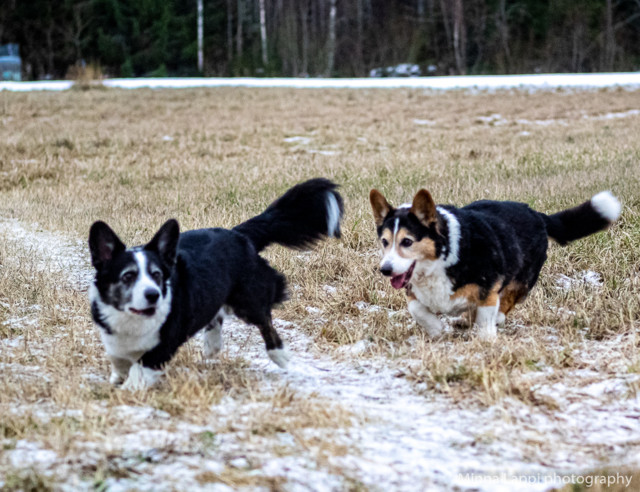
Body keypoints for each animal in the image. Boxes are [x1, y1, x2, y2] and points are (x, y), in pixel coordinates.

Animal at [89, 179, 344, 390]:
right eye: (128, 276)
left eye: (157, 275)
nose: (153, 295)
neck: (134, 320)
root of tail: (238, 234)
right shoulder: (113, 337)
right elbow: (119, 359)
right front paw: (118, 378)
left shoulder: (163, 345)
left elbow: (140, 369)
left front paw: (128, 389)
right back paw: (212, 346)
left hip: (248, 301)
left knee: (266, 322)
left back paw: (280, 356)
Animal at [370, 186, 620, 340]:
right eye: (385, 242)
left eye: (407, 241)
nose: (385, 270)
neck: (444, 253)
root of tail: (537, 214)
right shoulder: (413, 291)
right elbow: (417, 310)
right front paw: (438, 330)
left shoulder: (489, 286)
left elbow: (486, 313)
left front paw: (486, 338)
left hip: (523, 276)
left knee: (508, 299)